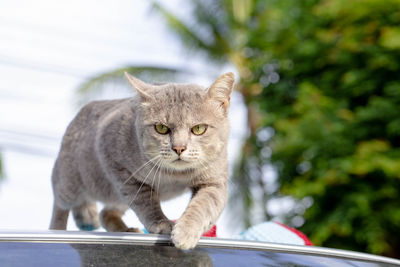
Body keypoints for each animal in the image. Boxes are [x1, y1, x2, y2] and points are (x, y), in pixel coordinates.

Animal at [49, 71, 234, 251]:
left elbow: (203, 206)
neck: (174, 175)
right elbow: (146, 202)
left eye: (199, 128)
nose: (179, 148)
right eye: (161, 128)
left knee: (105, 213)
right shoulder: (121, 170)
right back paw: (58, 228)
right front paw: (161, 224)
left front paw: (186, 232)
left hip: (115, 196)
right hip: (70, 183)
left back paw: (127, 230)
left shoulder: (214, 183)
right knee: (60, 203)